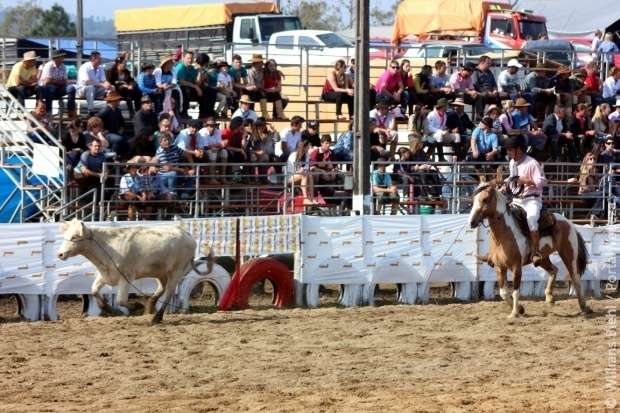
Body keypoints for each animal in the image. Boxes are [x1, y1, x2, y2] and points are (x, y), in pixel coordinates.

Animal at [58, 217, 213, 324]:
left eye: (75, 237)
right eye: (65, 236)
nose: (60, 254)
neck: (108, 245)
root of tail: (187, 235)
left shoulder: (126, 277)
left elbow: (120, 300)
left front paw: (135, 306)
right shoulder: (106, 274)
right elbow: (94, 291)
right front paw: (108, 309)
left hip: (176, 272)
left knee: (168, 293)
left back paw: (156, 317)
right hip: (161, 273)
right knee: (160, 289)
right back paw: (150, 307)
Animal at [470, 179, 592, 318]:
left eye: (485, 199)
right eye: (474, 199)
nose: (471, 221)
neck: (504, 234)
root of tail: (569, 222)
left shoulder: (516, 267)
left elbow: (515, 291)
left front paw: (514, 313)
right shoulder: (499, 267)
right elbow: (503, 293)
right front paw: (520, 309)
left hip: (569, 254)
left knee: (575, 277)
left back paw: (584, 307)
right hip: (542, 258)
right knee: (553, 270)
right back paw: (549, 298)